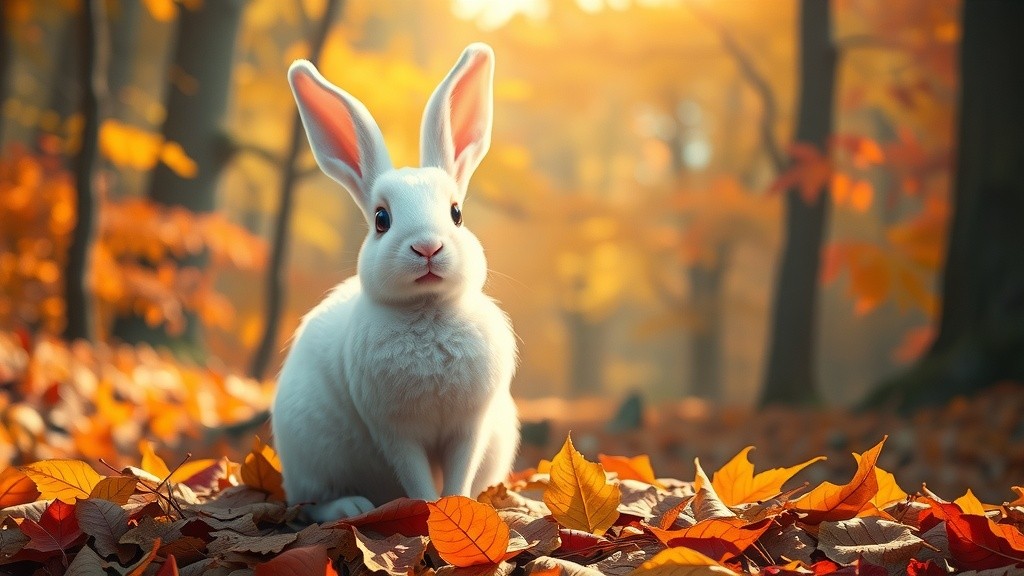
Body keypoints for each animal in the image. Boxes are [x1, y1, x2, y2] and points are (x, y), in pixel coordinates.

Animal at [271, 43, 519, 523]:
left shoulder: (470, 426)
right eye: (381, 220)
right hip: (311, 451)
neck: (428, 310)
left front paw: (457, 505)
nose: (427, 247)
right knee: (310, 501)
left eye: (457, 214)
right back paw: (350, 506)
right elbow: (417, 476)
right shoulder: (396, 431)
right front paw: (430, 512)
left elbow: (459, 472)